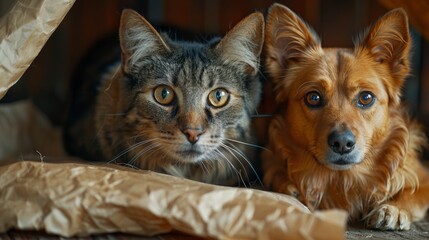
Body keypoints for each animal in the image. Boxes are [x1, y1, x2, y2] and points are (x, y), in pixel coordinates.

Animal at [260, 2, 428, 230]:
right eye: (313, 97)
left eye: (366, 97)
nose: (342, 143)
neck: (343, 180)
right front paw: (293, 193)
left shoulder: (423, 176)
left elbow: (413, 192)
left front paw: (394, 208)